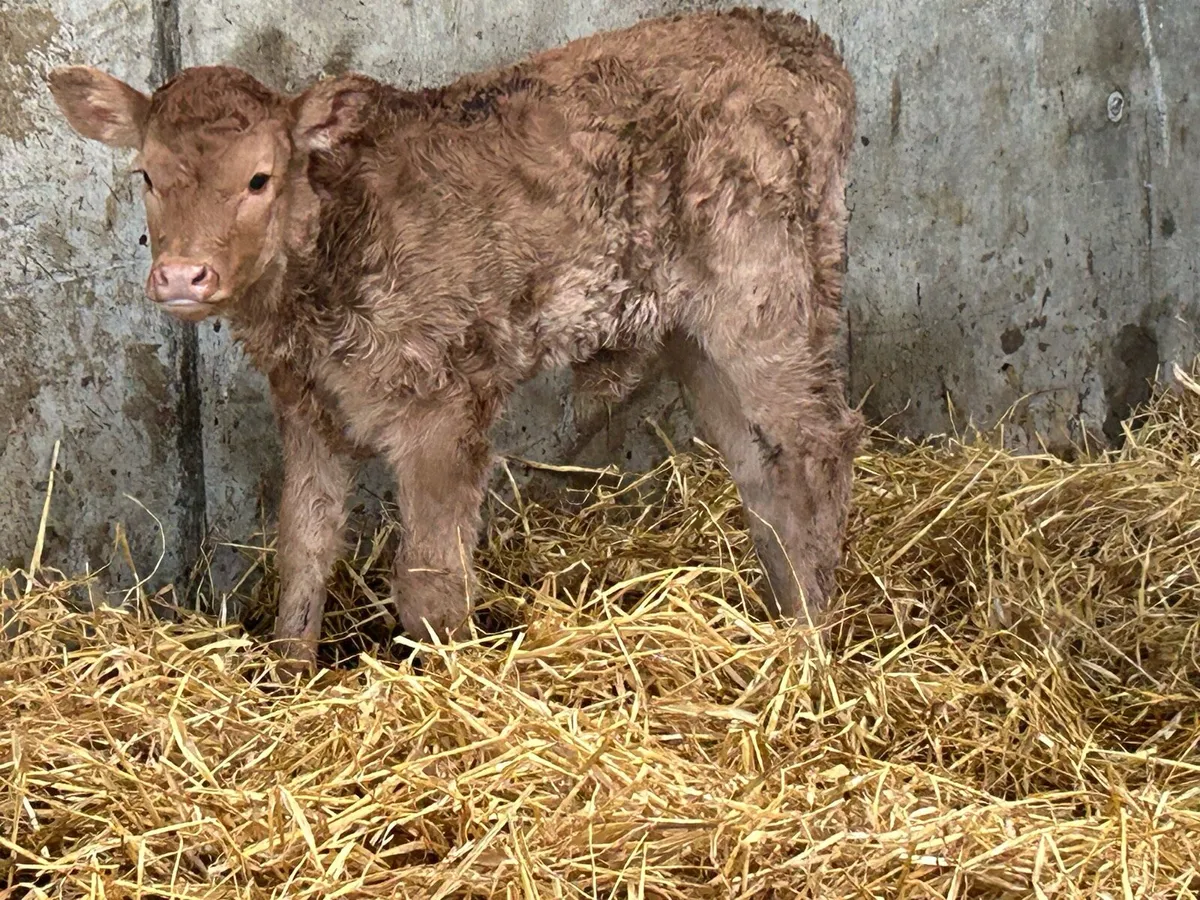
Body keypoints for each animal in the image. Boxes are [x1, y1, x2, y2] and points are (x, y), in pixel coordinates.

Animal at [47, 6, 864, 671]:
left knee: (818, 444)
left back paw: (811, 643)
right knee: (760, 462)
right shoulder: (309, 405)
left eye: (259, 179)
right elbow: (303, 545)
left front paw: (448, 686)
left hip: (765, 292)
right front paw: (287, 671)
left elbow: (430, 581)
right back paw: (782, 616)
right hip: (697, 331)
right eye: (147, 176)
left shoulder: (445, 405)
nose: (183, 275)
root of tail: (798, 38)